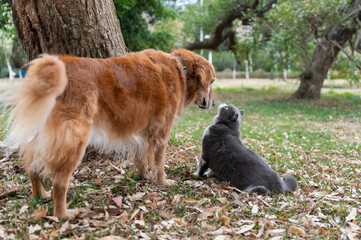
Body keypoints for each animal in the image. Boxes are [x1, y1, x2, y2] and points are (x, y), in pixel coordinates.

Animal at [4, 48, 214, 219]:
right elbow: (159, 163)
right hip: (76, 139)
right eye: (212, 82)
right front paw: (162, 182)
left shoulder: (143, 133)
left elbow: (142, 158)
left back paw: (40, 195)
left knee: (32, 169)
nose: (213, 103)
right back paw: (63, 214)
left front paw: (144, 175)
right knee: (59, 181)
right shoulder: (161, 133)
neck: (180, 69)